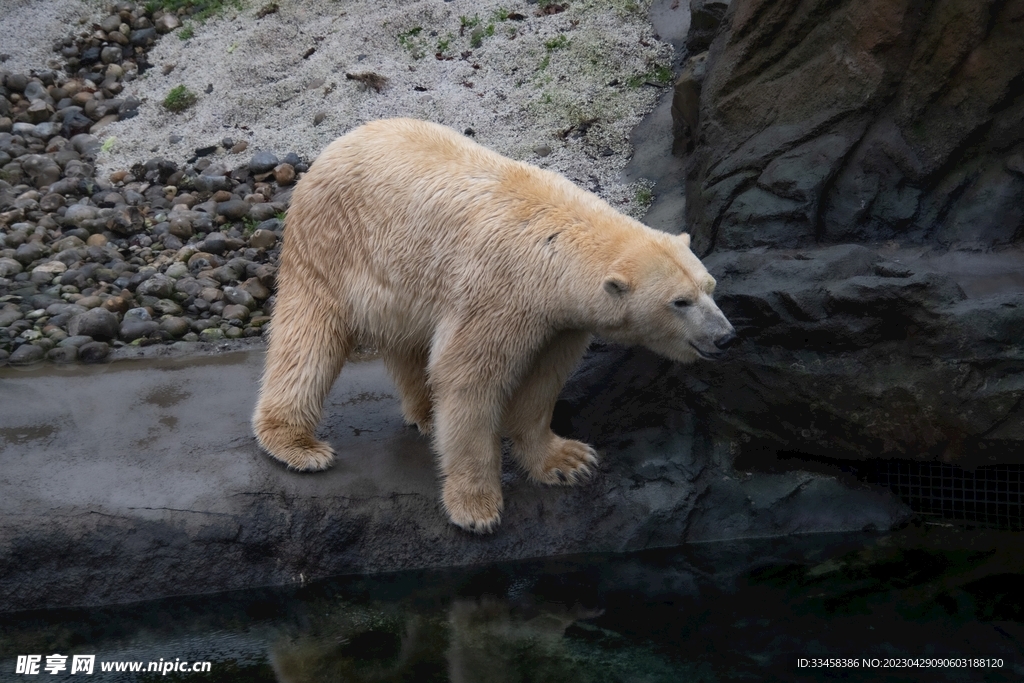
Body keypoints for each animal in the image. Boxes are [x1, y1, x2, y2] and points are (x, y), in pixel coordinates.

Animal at [252, 118, 735, 533]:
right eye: (680, 302)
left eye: (710, 286)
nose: (725, 336)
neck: (557, 244)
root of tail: (333, 148)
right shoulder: (500, 294)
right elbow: (468, 378)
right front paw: (476, 506)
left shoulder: (558, 320)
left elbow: (544, 378)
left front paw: (567, 460)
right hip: (332, 244)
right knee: (310, 336)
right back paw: (297, 445)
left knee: (408, 340)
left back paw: (425, 413)